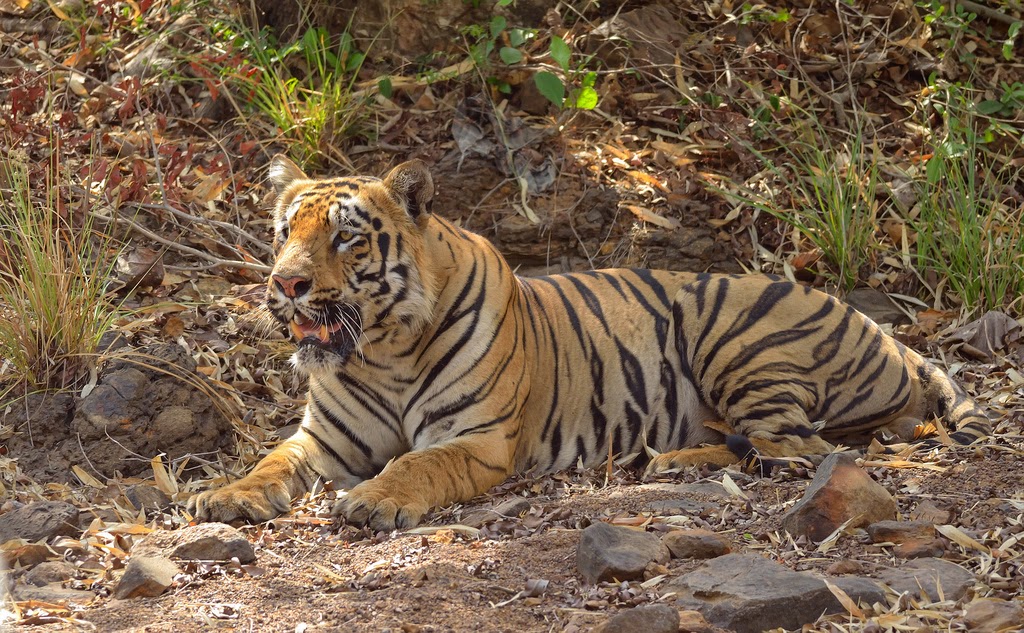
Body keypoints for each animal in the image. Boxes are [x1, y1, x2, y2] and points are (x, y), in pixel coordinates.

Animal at [188, 155, 987, 528]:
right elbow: (268, 463)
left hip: (729, 327)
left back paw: (668, 460)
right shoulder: (323, 440)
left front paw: (374, 501)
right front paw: (223, 496)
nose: (285, 283)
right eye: (283, 232)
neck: (381, 349)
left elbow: (417, 464)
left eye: (346, 238)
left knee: (800, 450)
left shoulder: (477, 440)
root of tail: (890, 335)